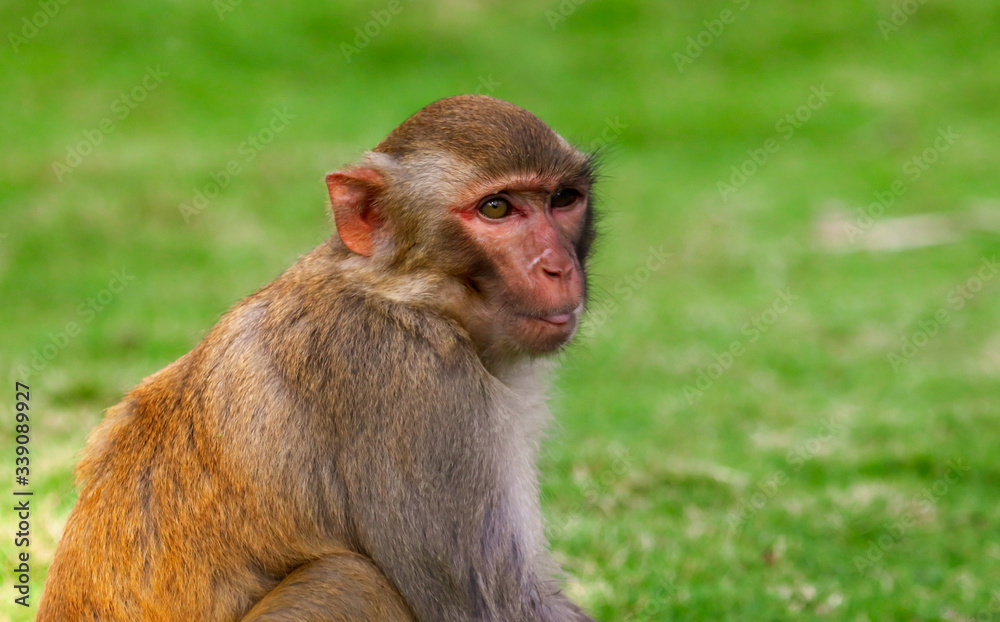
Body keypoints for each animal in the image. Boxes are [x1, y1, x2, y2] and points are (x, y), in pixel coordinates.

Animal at [37, 94, 600, 622]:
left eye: (563, 199)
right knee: (350, 578)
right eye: (496, 208)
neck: (401, 291)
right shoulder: (410, 377)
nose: (557, 267)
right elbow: (492, 606)